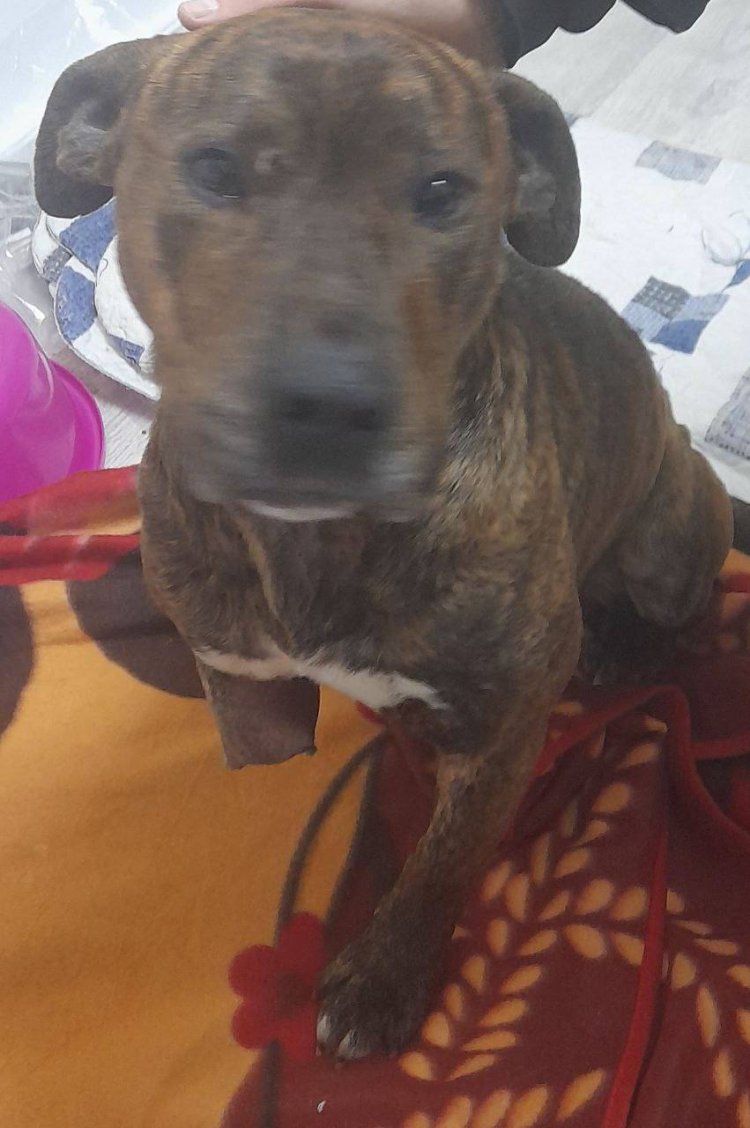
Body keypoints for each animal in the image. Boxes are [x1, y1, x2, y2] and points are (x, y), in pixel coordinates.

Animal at [35, 10, 733, 1061]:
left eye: (442, 191)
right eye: (214, 168)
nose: (329, 402)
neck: (318, 544)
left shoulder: (504, 729)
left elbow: (444, 859)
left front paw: (384, 977)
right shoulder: (239, 679)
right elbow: (261, 770)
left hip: (667, 532)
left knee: (672, 612)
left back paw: (628, 648)